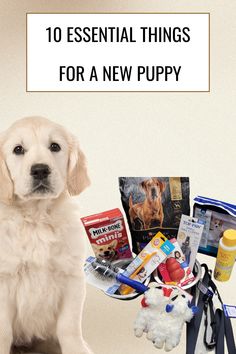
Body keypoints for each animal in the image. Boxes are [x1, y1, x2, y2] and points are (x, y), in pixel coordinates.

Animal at [0, 117, 93, 354]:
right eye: (18, 149)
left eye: (55, 146)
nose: (40, 170)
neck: (37, 218)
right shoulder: (3, 280)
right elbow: (3, 331)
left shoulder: (72, 277)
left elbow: (69, 325)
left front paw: (76, 349)